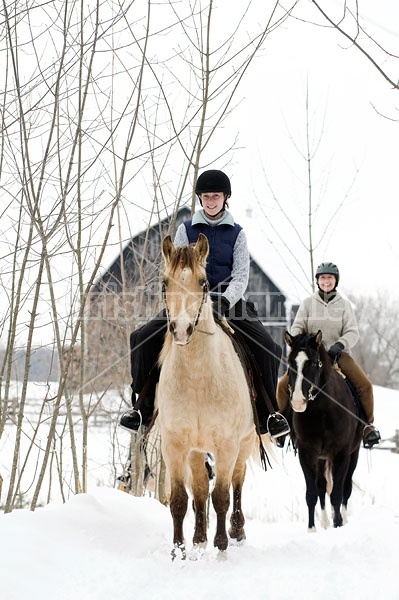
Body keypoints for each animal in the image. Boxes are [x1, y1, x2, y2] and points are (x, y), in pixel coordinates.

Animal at [156, 233, 260, 556]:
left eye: (203, 281)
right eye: (165, 282)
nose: (181, 329)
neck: (198, 379)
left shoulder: (227, 444)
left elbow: (222, 496)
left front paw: (222, 545)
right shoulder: (175, 445)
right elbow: (181, 499)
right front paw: (179, 550)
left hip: (244, 441)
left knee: (238, 482)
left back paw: (236, 530)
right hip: (195, 450)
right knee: (201, 489)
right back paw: (199, 538)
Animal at [286, 330, 364, 532]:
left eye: (314, 363)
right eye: (290, 363)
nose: (298, 401)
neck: (322, 412)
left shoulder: (341, 454)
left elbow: (337, 493)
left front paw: (338, 524)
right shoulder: (307, 454)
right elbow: (312, 493)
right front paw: (311, 529)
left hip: (353, 454)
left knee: (346, 488)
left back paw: (342, 519)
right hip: (321, 458)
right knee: (321, 486)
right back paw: (324, 522)